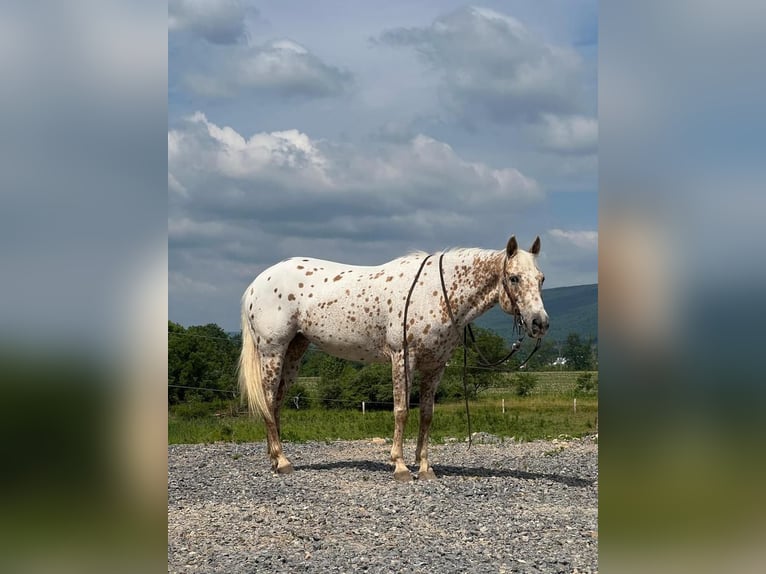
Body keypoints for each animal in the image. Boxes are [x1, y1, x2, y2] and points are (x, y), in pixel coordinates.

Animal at [237, 234, 548, 482]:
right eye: (514, 278)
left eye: (541, 279)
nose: (540, 323)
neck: (437, 292)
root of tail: (255, 284)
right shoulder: (403, 359)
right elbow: (401, 411)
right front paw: (400, 467)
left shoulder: (435, 366)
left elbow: (426, 415)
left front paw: (425, 468)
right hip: (273, 352)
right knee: (268, 402)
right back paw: (283, 461)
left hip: (294, 351)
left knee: (276, 403)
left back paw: (275, 459)